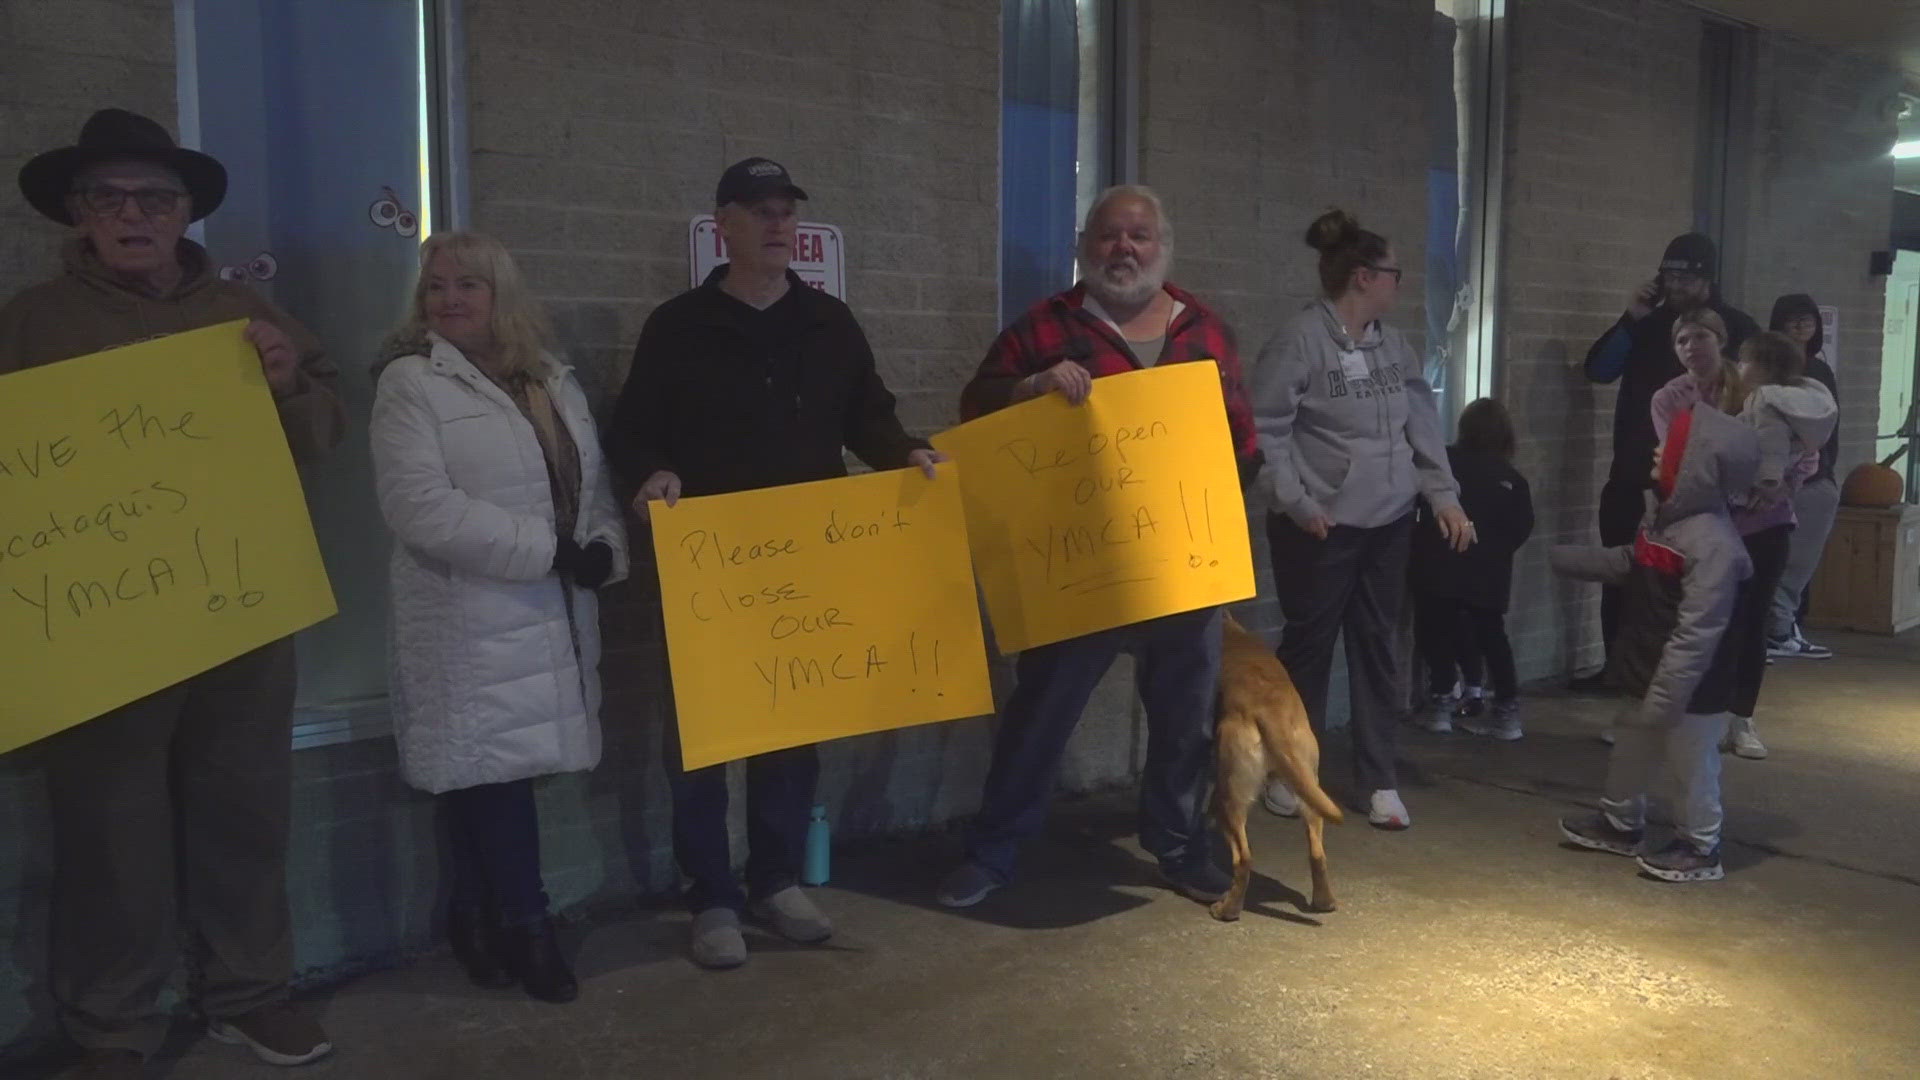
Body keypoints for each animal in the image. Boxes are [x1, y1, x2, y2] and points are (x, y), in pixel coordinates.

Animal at [1205, 614, 1344, 914]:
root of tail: (1270, 710)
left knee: (1243, 858)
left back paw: (1227, 910)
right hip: (1309, 791)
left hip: (1229, 796)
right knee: (1317, 853)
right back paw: (1324, 901)